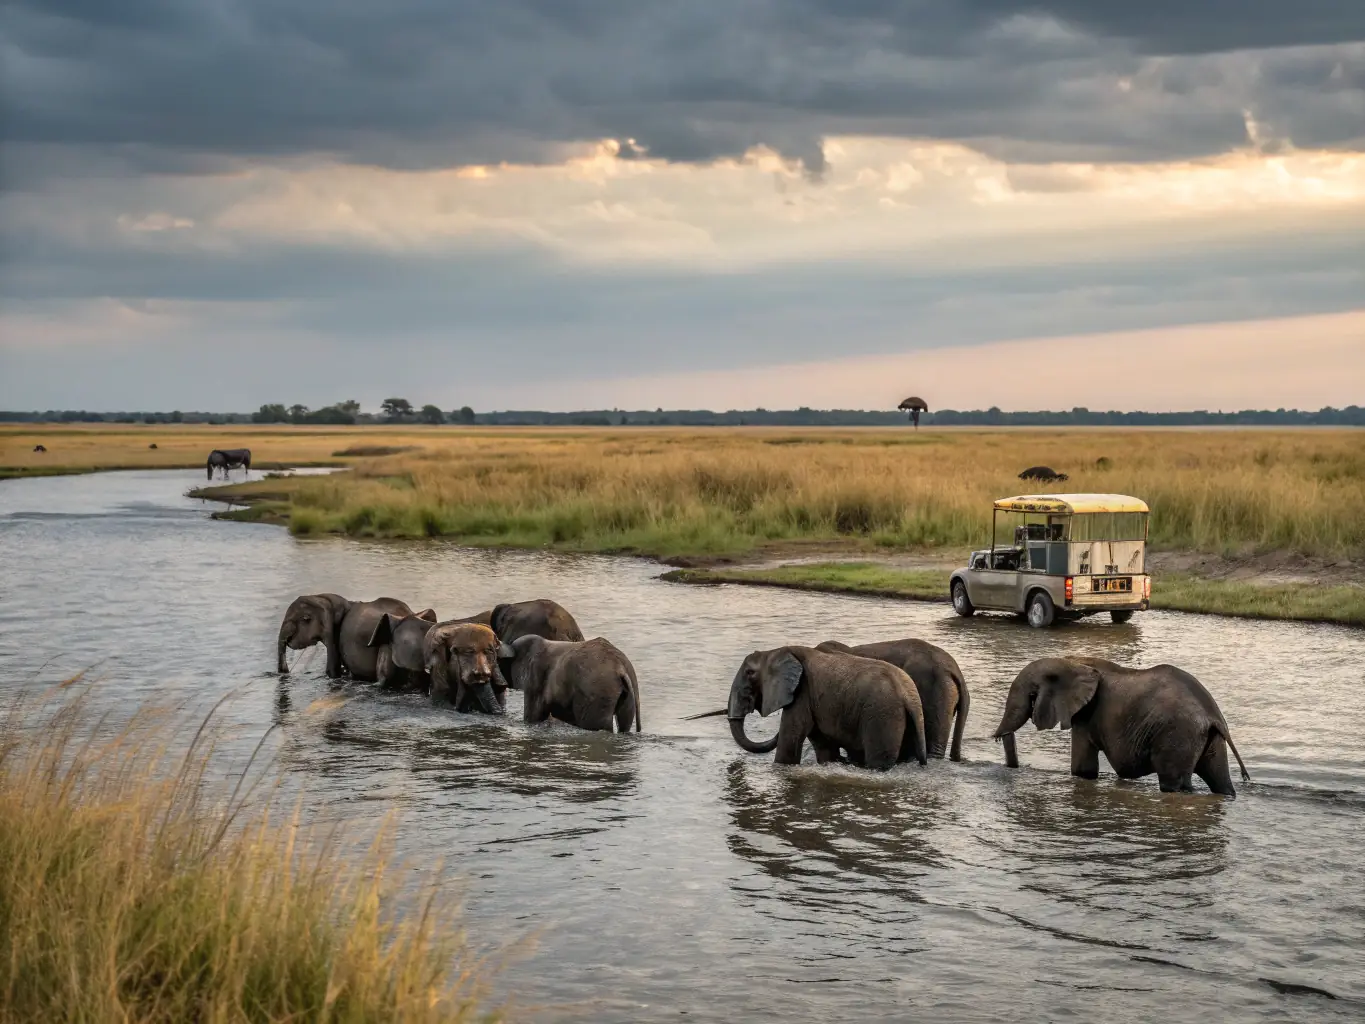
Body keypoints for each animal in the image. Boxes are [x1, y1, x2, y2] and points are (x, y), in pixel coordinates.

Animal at [503, 635, 641, 732]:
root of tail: (620, 666)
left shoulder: (534, 677)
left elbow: (533, 716)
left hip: (599, 692)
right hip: (628, 692)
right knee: (624, 725)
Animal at [726, 647, 927, 770]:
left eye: (749, 673)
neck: (775, 651)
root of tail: (908, 696)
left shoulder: (802, 692)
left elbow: (790, 741)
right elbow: (823, 747)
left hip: (882, 714)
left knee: (878, 761)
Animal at [993, 657, 1251, 796]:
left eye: (1032, 694)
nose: (996, 737)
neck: (1072, 662)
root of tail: (1213, 716)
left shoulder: (1086, 715)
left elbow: (1083, 769)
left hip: (1178, 735)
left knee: (1173, 783)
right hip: (1207, 738)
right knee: (1220, 782)